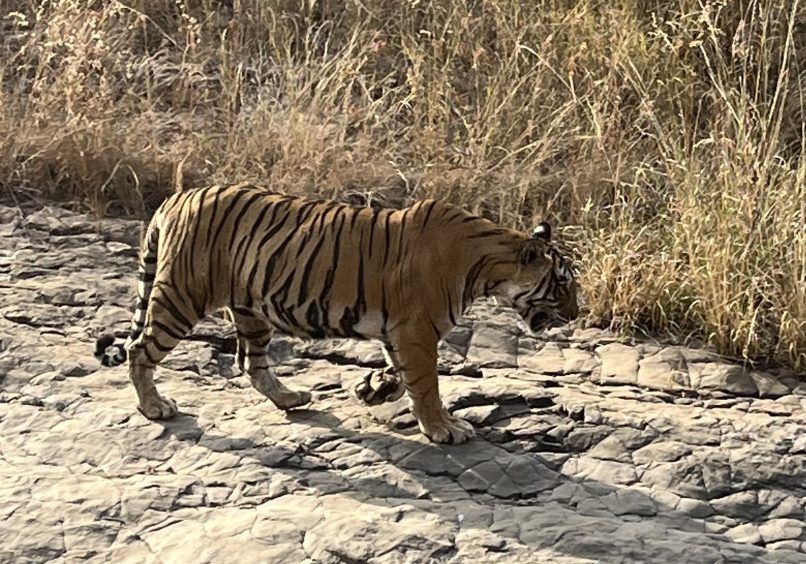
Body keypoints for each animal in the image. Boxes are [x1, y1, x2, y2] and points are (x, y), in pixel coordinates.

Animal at [94, 183, 580, 442]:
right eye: (562, 284)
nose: (576, 315)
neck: (488, 262)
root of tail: (177, 196)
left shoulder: (400, 332)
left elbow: (399, 373)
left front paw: (372, 389)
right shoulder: (417, 331)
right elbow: (427, 385)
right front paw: (444, 428)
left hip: (251, 310)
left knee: (252, 364)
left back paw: (291, 398)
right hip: (181, 297)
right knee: (140, 349)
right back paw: (154, 407)